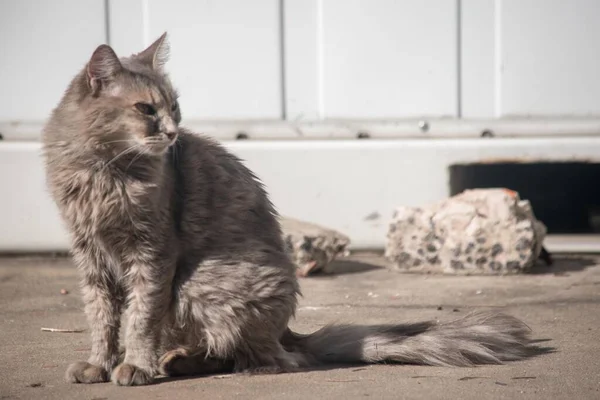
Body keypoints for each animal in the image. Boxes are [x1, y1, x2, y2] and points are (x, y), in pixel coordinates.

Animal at [43, 35, 536, 388]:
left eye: (175, 107)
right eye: (146, 109)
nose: (172, 132)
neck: (103, 172)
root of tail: (287, 330)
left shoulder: (152, 253)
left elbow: (140, 319)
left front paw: (135, 366)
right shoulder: (90, 257)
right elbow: (102, 320)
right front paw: (98, 365)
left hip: (200, 284)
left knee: (268, 358)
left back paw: (195, 363)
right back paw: (178, 360)